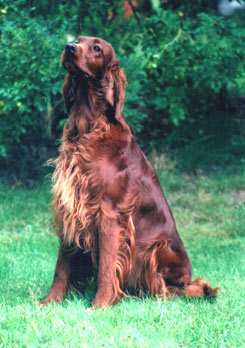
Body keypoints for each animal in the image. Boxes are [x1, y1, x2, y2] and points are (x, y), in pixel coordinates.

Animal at [42, 36, 218, 308]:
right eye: (79, 40)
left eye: (97, 48)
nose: (69, 48)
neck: (88, 127)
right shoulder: (71, 205)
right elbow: (62, 266)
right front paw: (48, 303)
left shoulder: (109, 213)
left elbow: (106, 266)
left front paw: (100, 306)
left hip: (158, 247)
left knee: (178, 288)